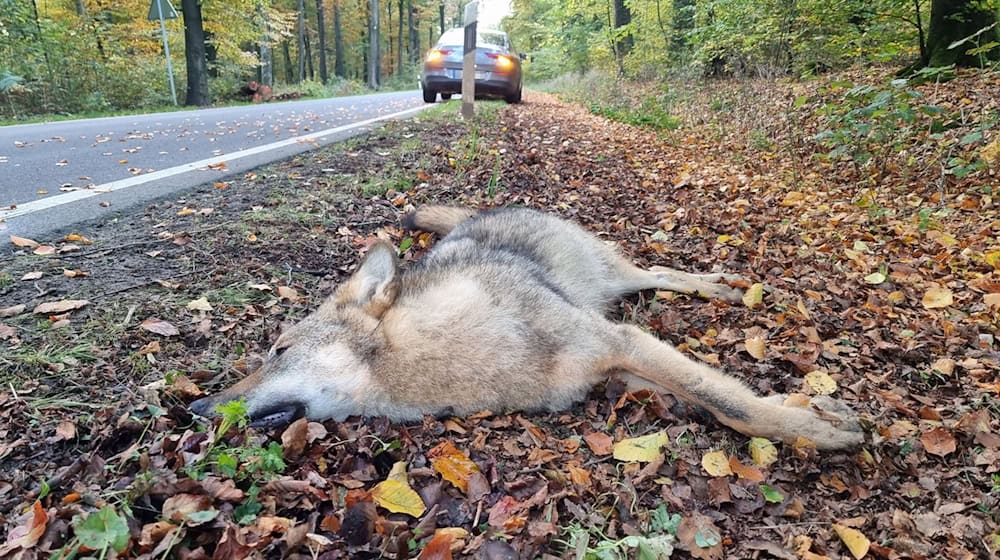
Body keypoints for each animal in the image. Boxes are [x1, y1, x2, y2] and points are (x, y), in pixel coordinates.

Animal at [191, 206, 864, 450]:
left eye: (277, 350)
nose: (193, 409)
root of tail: (486, 209)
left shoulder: (618, 341)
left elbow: (733, 404)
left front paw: (815, 429)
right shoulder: (619, 368)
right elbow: (714, 394)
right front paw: (807, 410)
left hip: (613, 280)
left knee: (659, 270)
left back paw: (721, 286)